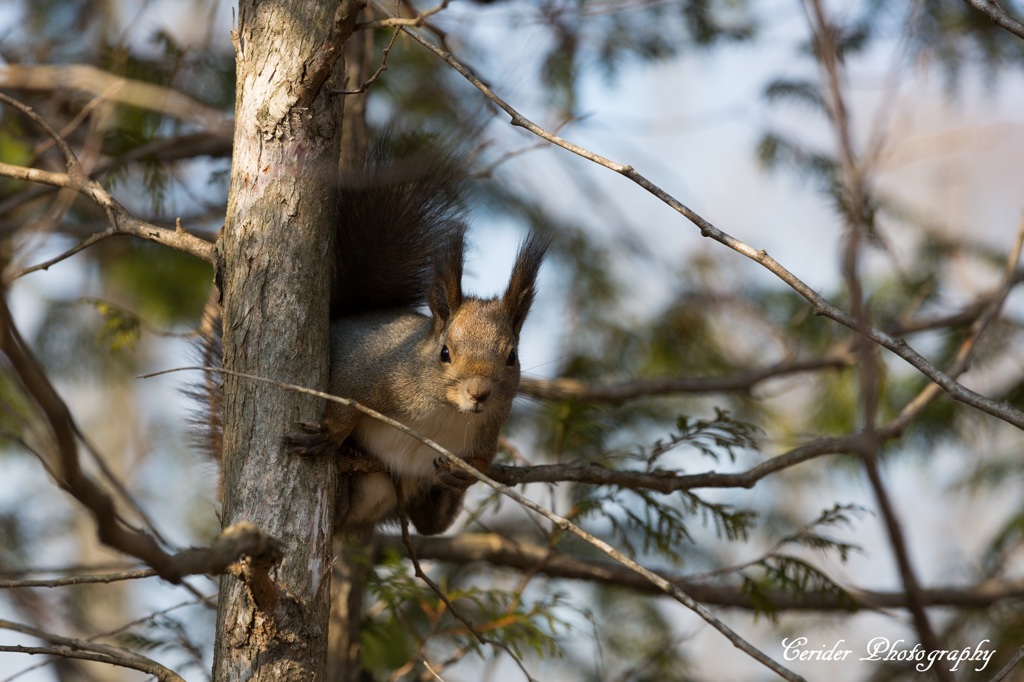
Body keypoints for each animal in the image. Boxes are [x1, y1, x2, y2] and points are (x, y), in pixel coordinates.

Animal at [201, 140, 552, 532]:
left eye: (511, 357)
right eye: (445, 353)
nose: (479, 393)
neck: (447, 412)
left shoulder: (487, 432)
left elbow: (482, 462)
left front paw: (467, 472)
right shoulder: (370, 372)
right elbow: (343, 399)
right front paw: (330, 434)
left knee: (430, 524)